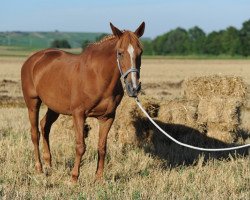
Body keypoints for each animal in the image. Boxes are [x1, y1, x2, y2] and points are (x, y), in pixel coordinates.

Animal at [21, 22, 146, 183]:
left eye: (140, 52)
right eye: (120, 53)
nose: (134, 87)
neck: (98, 77)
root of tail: (33, 59)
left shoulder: (107, 117)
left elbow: (102, 147)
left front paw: (99, 178)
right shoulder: (79, 114)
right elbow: (80, 146)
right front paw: (74, 178)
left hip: (54, 107)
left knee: (44, 126)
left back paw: (49, 164)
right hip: (32, 103)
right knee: (34, 133)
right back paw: (39, 168)